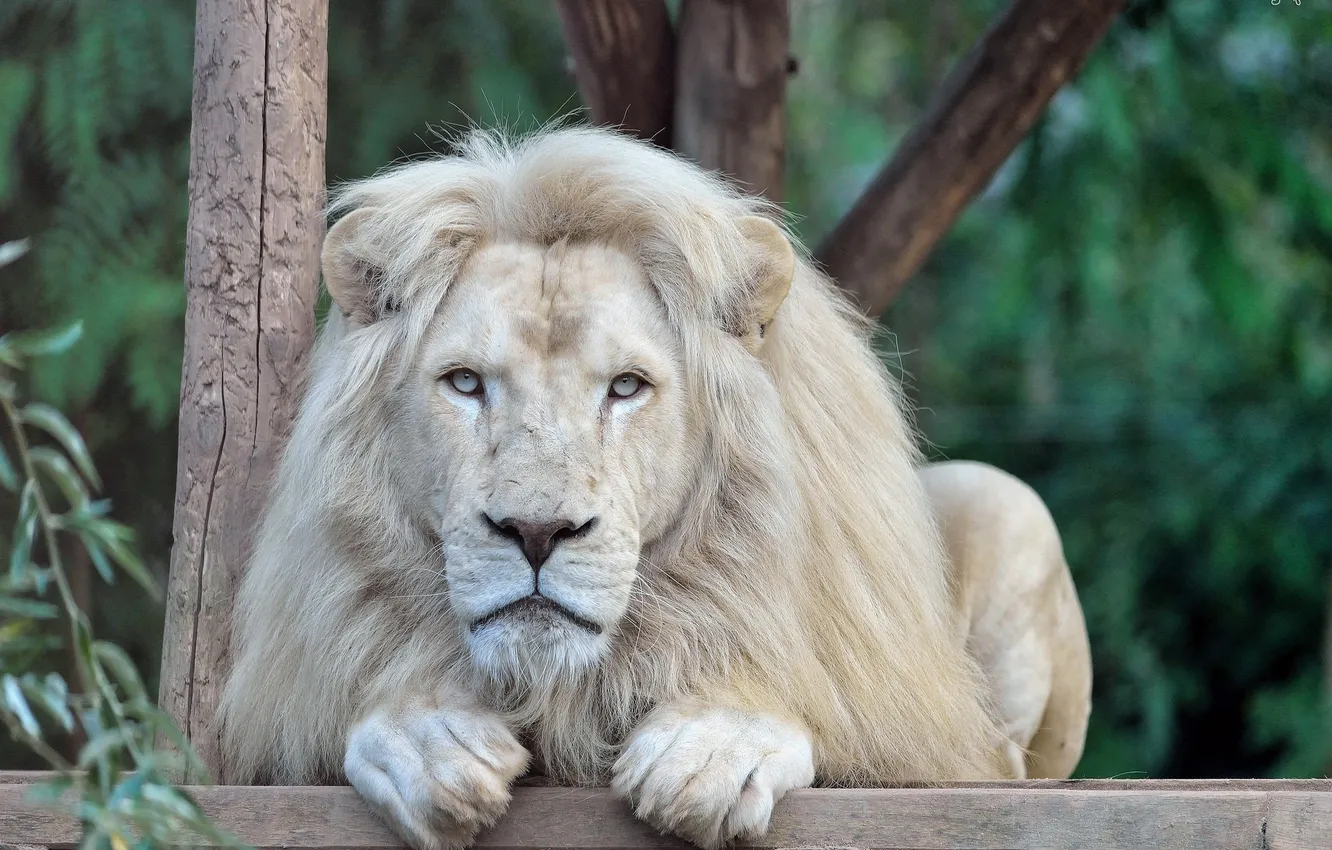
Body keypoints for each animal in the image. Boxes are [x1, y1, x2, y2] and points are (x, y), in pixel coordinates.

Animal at [218, 125, 1091, 850]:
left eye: (627, 387)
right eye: (464, 383)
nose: (537, 533)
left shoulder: (958, 755)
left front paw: (718, 745)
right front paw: (429, 739)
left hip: (1005, 502)